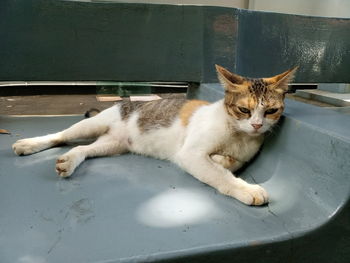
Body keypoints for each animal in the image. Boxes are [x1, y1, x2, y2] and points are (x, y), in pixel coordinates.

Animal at [12, 65, 296, 207]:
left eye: (271, 111)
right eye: (244, 110)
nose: (257, 125)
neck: (237, 134)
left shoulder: (242, 154)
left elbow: (229, 162)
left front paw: (222, 160)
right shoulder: (190, 154)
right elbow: (219, 175)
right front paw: (245, 188)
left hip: (113, 145)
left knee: (83, 149)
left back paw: (69, 161)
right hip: (91, 125)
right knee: (59, 135)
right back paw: (29, 144)